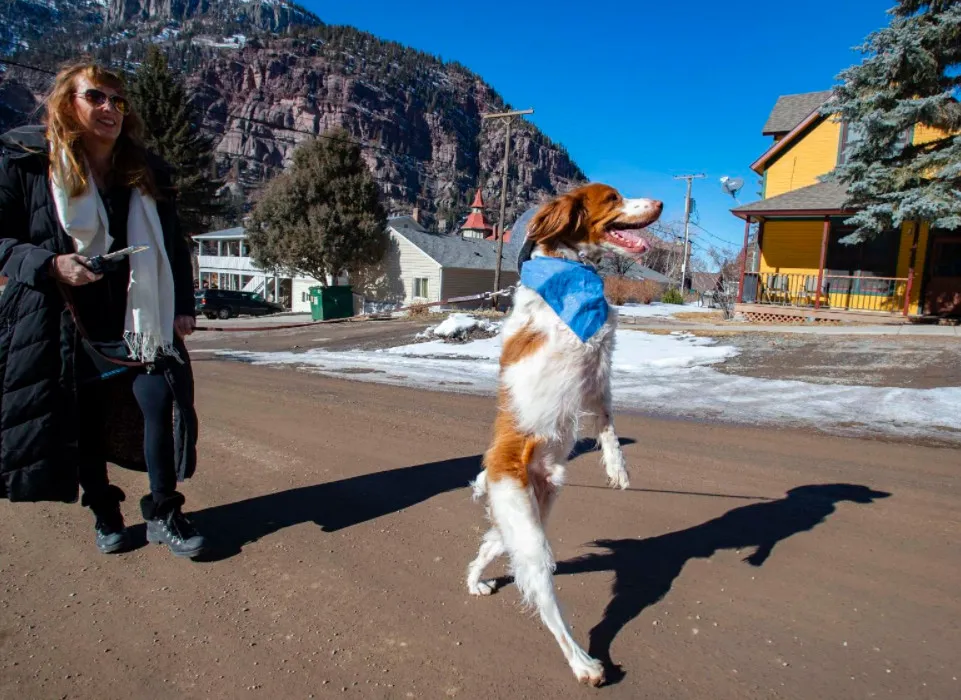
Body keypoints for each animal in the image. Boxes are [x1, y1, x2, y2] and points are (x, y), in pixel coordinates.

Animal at [464, 183, 660, 688]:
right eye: (612, 199)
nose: (659, 204)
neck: (568, 268)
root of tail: (493, 469)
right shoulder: (584, 344)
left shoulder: (598, 372)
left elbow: (608, 418)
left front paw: (617, 467)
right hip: (529, 535)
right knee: (546, 603)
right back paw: (583, 663)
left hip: (528, 517)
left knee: (488, 545)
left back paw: (475, 581)